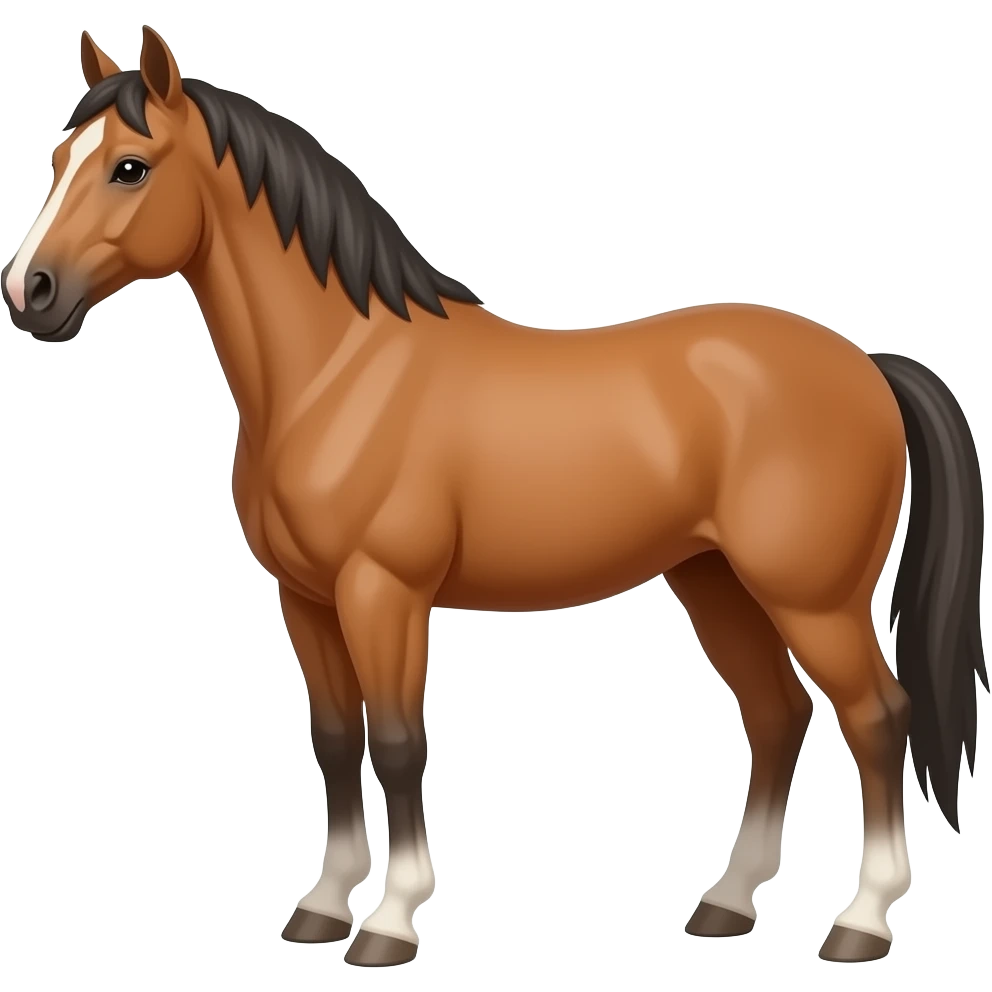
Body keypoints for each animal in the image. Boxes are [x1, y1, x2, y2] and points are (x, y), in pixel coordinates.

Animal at [2, 26, 986, 968]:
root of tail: (867, 365)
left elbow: (399, 743)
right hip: (715, 582)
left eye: (130, 167)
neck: (341, 371)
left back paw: (862, 922)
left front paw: (389, 922)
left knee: (877, 718)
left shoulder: (383, 592)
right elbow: (336, 739)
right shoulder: (305, 598)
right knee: (778, 716)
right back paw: (726, 903)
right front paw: (321, 905)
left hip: (812, 598)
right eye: (57, 159)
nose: (28, 291)